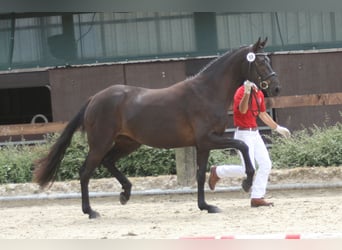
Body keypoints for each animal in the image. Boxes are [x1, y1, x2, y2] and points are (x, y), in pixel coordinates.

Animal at [34, 37, 280, 219]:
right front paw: (247, 181)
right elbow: (242, 146)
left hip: (128, 143)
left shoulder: (203, 145)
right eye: (260, 62)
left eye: (269, 60)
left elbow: (200, 175)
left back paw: (125, 193)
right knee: (86, 172)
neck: (207, 92)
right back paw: (91, 211)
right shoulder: (208, 139)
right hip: (100, 143)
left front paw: (206, 206)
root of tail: (94, 98)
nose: (276, 88)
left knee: (109, 162)